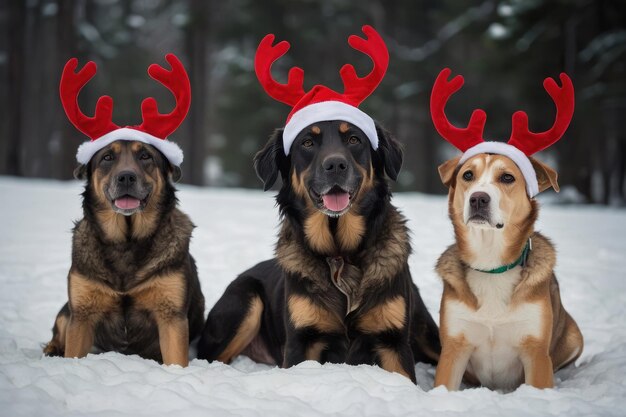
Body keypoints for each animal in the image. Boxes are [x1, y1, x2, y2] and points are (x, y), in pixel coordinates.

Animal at [44, 141, 205, 366]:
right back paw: (51, 349)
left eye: (146, 156)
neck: (126, 243)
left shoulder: (172, 316)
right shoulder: (82, 315)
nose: (126, 177)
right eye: (107, 157)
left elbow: (176, 360)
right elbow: (73, 351)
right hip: (68, 311)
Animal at [199, 119, 438, 380]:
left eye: (354, 139)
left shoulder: (393, 342)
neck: (340, 254)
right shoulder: (301, 341)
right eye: (307, 143)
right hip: (245, 299)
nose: (335, 165)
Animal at [428, 68, 580, 390]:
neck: (491, 264)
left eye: (507, 177)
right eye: (467, 175)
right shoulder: (453, 347)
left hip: (574, 336)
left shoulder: (536, 352)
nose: (478, 198)